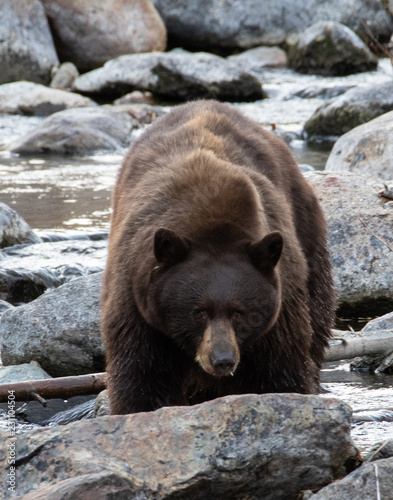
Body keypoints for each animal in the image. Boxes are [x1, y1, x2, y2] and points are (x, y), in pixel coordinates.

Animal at [101, 97, 334, 414]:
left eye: (240, 312)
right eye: (198, 311)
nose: (222, 359)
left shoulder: (281, 304)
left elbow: (280, 369)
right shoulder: (136, 299)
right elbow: (143, 373)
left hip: (306, 230)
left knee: (318, 310)